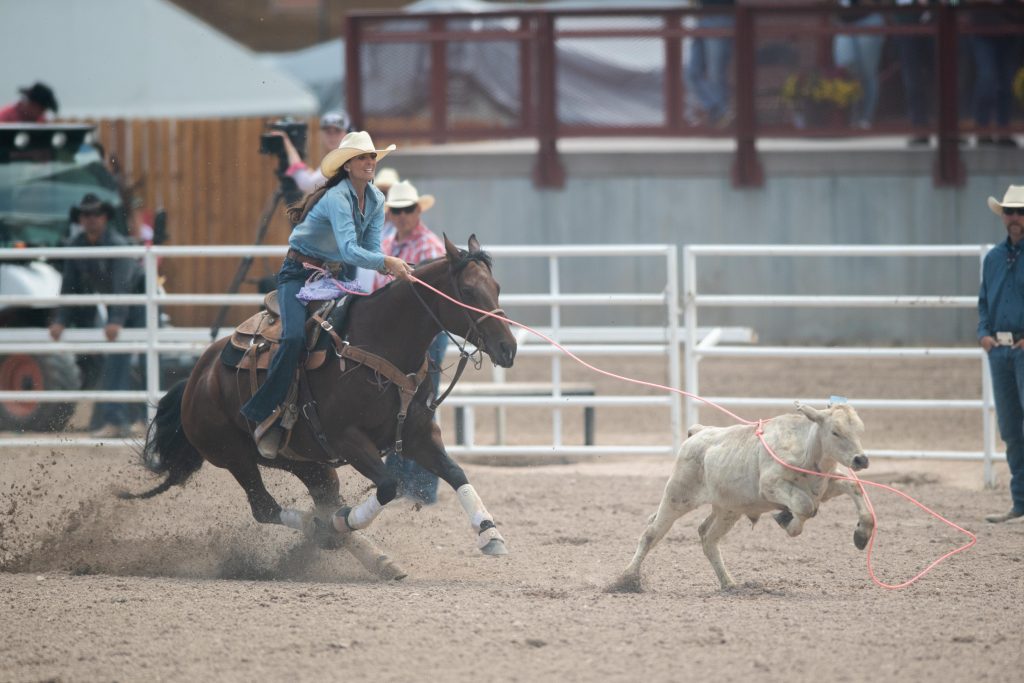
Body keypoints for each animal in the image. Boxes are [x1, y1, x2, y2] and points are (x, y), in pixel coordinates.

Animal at [123, 235, 516, 573]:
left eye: (496, 288)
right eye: (467, 291)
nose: (508, 348)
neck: (378, 345)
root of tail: (195, 378)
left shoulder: (418, 433)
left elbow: (455, 472)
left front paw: (490, 534)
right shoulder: (350, 439)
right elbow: (389, 486)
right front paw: (343, 522)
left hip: (306, 462)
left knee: (320, 498)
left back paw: (370, 556)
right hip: (233, 455)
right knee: (265, 507)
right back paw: (323, 530)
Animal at [610, 403, 876, 589]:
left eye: (860, 430)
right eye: (835, 432)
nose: (860, 459)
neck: (807, 450)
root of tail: (698, 432)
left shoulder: (826, 488)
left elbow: (853, 488)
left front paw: (861, 534)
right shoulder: (770, 485)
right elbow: (805, 506)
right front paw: (785, 520)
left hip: (728, 509)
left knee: (708, 537)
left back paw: (729, 583)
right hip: (677, 496)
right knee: (651, 533)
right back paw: (626, 578)